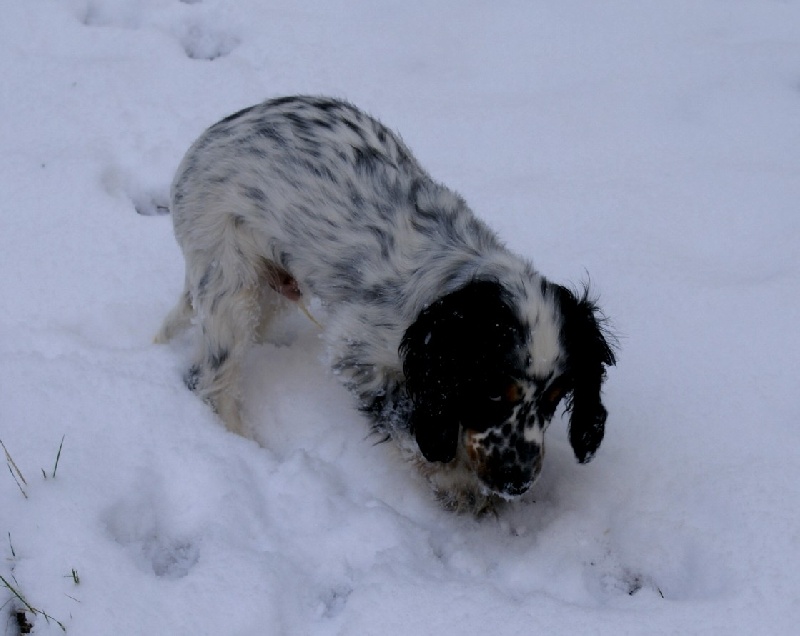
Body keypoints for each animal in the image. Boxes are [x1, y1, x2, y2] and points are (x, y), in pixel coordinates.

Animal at [158, 94, 620, 512]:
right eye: (491, 391)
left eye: (556, 396)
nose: (517, 481)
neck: (456, 276)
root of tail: (210, 137)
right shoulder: (355, 348)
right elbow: (404, 416)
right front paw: (454, 479)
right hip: (229, 280)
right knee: (209, 379)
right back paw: (243, 445)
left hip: (272, 285)